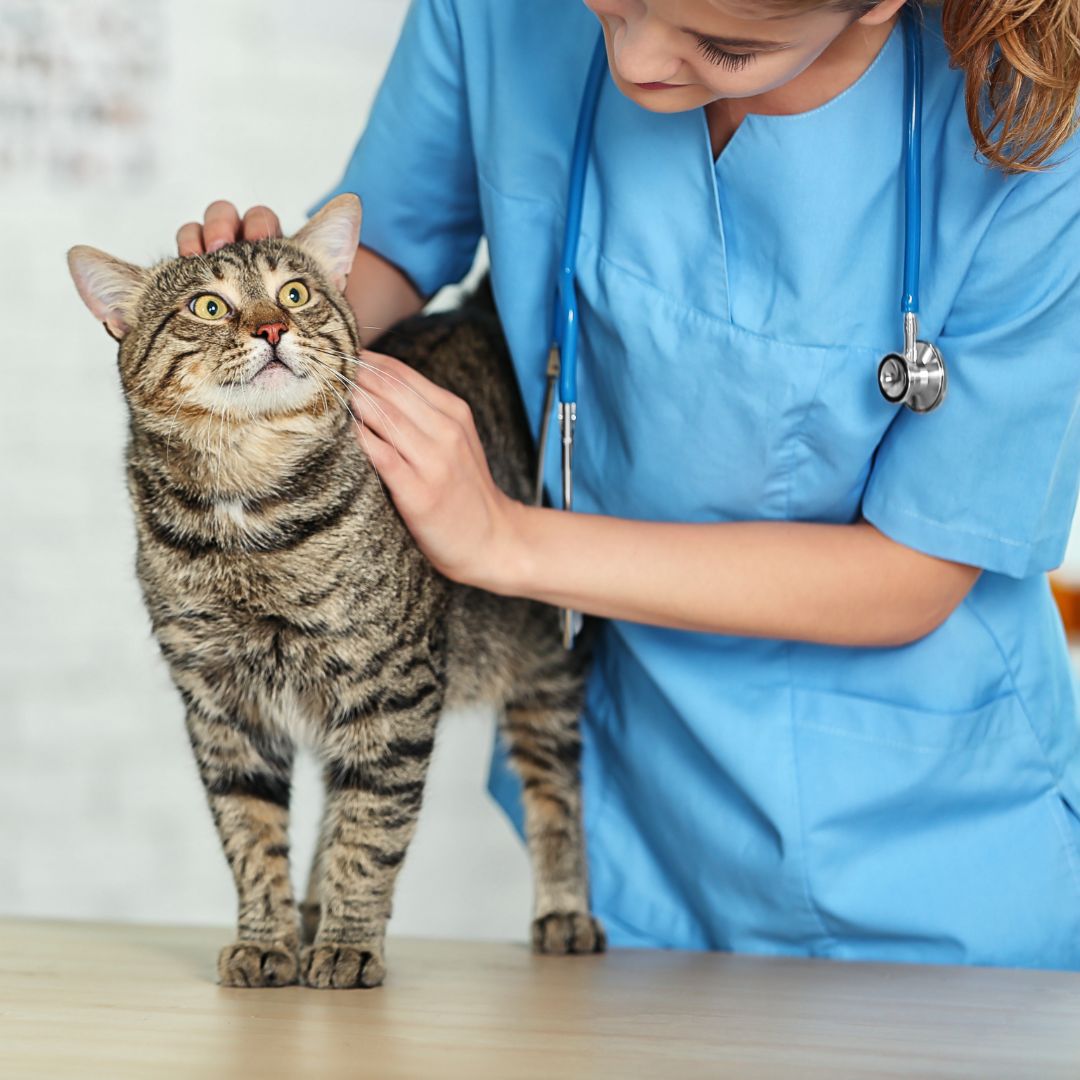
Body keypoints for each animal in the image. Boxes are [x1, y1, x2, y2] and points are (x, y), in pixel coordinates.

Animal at [68, 192, 609, 989]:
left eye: (294, 294)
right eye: (208, 305)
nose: (272, 327)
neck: (247, 507)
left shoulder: (393, 690)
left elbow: (372, 829)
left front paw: (350, 944)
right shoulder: (222, 707)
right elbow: (251, 836)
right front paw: (267, 939)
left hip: (546, 665)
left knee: (554, 789)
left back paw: (562, 911)